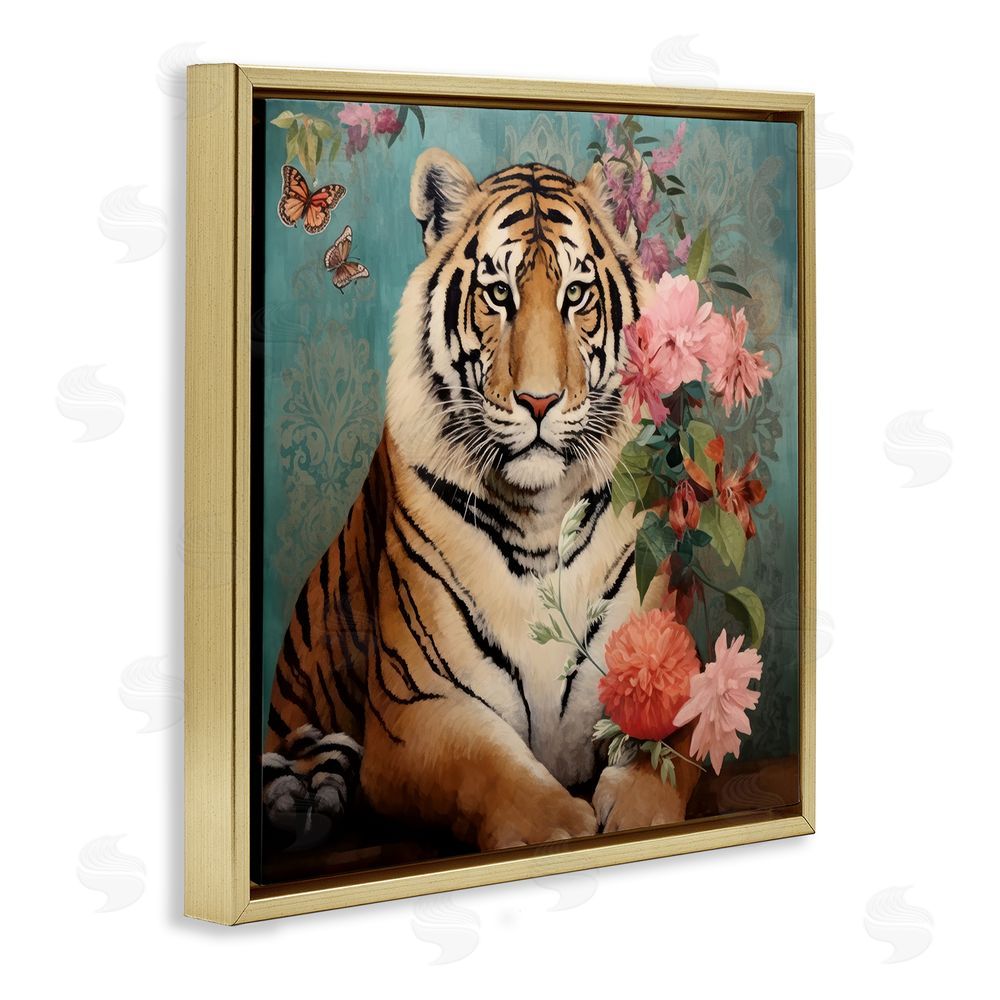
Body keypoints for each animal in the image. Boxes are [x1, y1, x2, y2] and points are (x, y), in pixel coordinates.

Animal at [262, 149, 701, 852]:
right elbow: (491, 772)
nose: (540, 401)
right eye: (499, 294)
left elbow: (677, 741)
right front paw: (562, 826)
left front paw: (640, 811)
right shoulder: (415, 710)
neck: (541, 515)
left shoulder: (681, 661)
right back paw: (304, 800)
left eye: (576, 294)